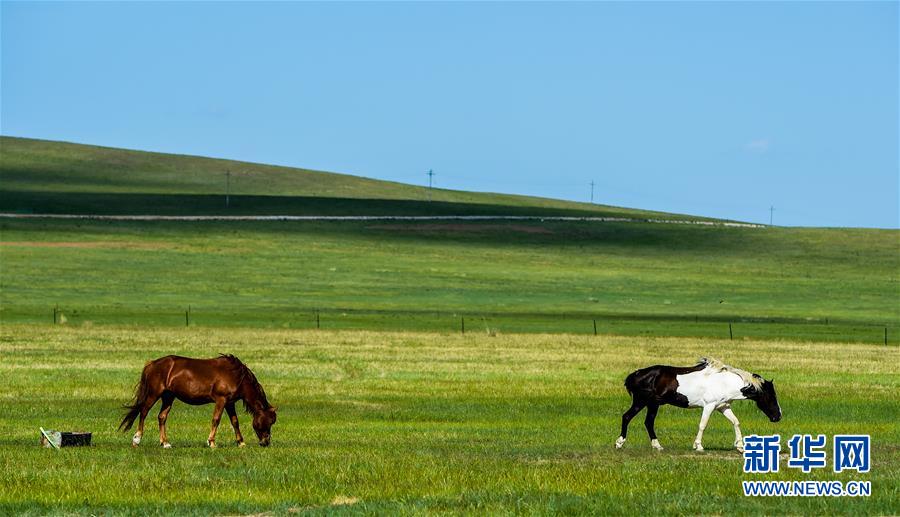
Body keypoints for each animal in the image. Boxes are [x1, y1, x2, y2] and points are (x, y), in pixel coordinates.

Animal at [118, 354, 276, 448]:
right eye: (267, 422)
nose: (266, 442)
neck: (236, 375)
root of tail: (152, 364)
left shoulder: (230, 403)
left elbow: (235, 422)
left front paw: (241, 442)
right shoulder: (221, 400)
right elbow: (216, 420)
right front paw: (211, 442)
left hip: (168, 397)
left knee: (161, 417)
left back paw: (165, 443)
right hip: (154, 394)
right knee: (143, 412)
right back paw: (137, 439)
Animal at [616, 356, 776, 450]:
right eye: (770, 395)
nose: (777, 416)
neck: (724, 382)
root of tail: (636, 374)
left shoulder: (723, 407)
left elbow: (735, 422)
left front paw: (740, 446)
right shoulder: (709, 406)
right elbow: (703, 425)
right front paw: (698, 446)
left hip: (651, 404)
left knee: (648, 422)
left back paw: (657, 446)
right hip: (642, 402)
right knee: (628, 417)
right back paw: (619, 443)